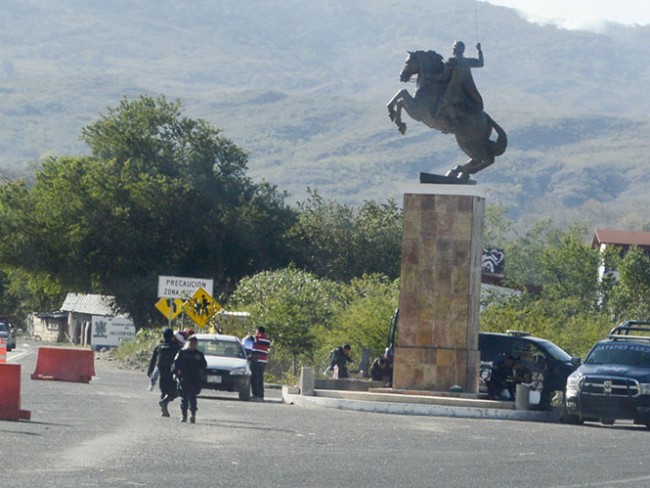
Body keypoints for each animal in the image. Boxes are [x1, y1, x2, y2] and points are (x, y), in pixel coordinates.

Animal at [384, 50, 506, 181]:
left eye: (407, 62)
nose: (401, 76)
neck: (429, 86)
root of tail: (488, 119)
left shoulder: (417, 112)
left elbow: (402, 95)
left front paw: (396, 119)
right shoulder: (416, 112)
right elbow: (400, 97)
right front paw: (398, 120)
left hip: (472, 141)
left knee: (486, 159)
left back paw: (460, 171)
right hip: (466, 140)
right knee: (480, 158)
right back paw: (458, 172)